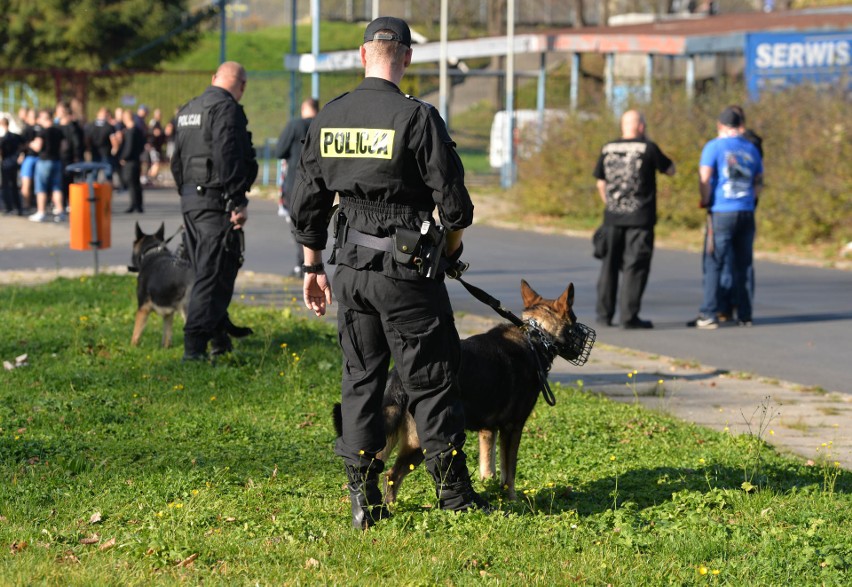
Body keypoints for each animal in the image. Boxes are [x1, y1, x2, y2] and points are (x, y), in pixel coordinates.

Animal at [332, 278, 592, 504]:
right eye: (575, 318)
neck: (536, 335)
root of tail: (396, 379)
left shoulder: (488, 430)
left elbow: (489, 468)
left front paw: (490, 489)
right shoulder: (512, 428)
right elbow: (509, 473)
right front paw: (513, 500)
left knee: (376, 471)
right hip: (420, 443)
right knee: (392, 474)